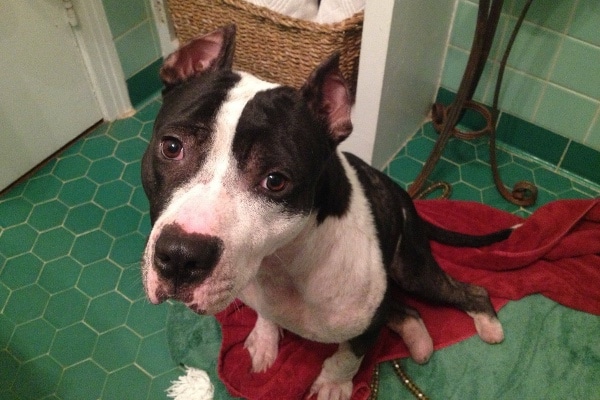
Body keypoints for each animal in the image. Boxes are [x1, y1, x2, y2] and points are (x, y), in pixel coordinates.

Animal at [139, 25, 510, 400]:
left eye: (275, 181)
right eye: (172, 146)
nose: (181, 256)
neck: (281, 263)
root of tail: (405, 196)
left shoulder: (365, 321)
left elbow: (349, 354)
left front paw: (333, 384)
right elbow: (266, 316)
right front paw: (264, 340)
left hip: (412, 270)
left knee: (469, 292)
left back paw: (489, 327)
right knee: (405, 310)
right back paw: (419, 341)